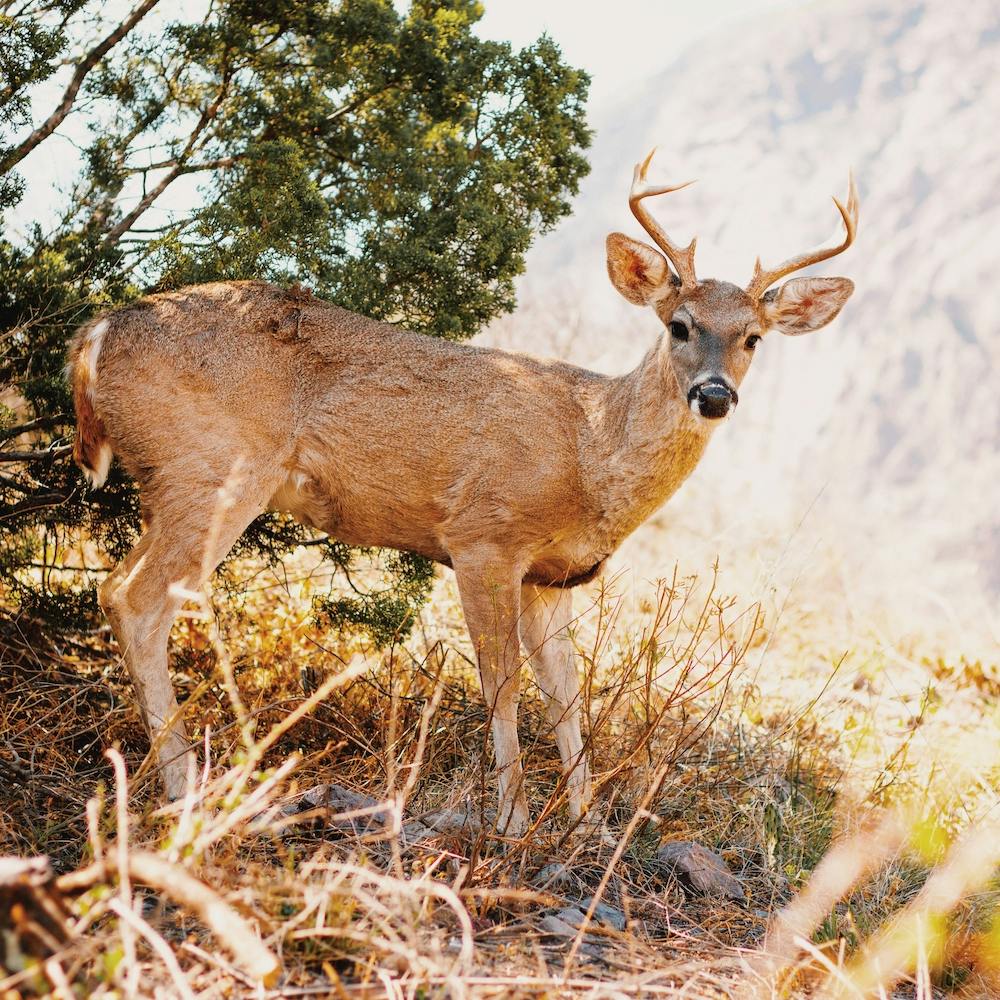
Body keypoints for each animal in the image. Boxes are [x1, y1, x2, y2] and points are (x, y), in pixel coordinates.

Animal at [69, 150, 858, 836]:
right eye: (680, 326)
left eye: (754, 338)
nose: (715, 395)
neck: (589, 451)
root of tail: (95, 334)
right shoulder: (484, 537)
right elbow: (501, 683)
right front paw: (510, 822)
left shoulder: (554, 577)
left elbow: (566, 693)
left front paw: (587, 826)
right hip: (211, 470)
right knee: (134, 598)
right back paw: (182, 789)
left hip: (176, 481)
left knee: (117, 589)